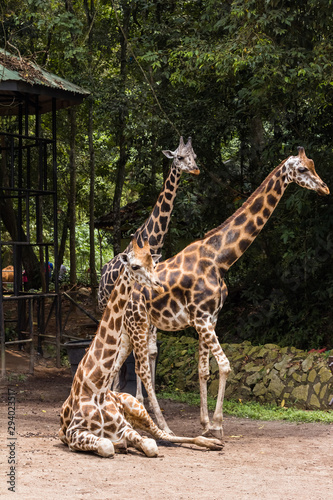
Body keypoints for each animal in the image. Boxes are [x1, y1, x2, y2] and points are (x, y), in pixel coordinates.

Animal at [59, 237, 223, 458]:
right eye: (135, 266)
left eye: (153, 264)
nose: (159, 286)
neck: (97, 388)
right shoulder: (72, 432)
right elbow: (106, 445)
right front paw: (120, 445)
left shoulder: (123, 427)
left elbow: (150, 446)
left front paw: (128, 445)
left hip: (137, 408)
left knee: (164, 434)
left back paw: (212, 441)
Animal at [109, 146, 330, 438]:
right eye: (303, 169)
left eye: (313, 164)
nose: (325, 188)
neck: (221, 258)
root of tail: (122, 295)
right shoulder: (202, 319)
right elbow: (224, 365)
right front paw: (217, 425)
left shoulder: (210, 319)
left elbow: (204, 370)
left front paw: (204, 424)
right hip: (139, 325)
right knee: (139, 369)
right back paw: (158, 425)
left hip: (129, 329)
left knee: (115, 364)